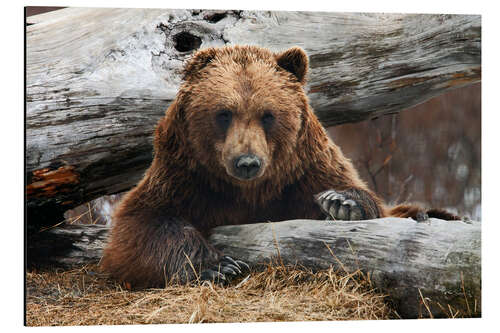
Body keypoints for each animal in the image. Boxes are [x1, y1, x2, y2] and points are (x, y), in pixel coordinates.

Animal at [99, 44, 458, 288]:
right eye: (224, 113)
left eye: (268, 114)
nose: (247, 162)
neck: (248, 191)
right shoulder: (186, 177)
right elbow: (140, 226)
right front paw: (218, 266)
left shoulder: (303, 172)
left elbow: (361, 198)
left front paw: (342, 203)